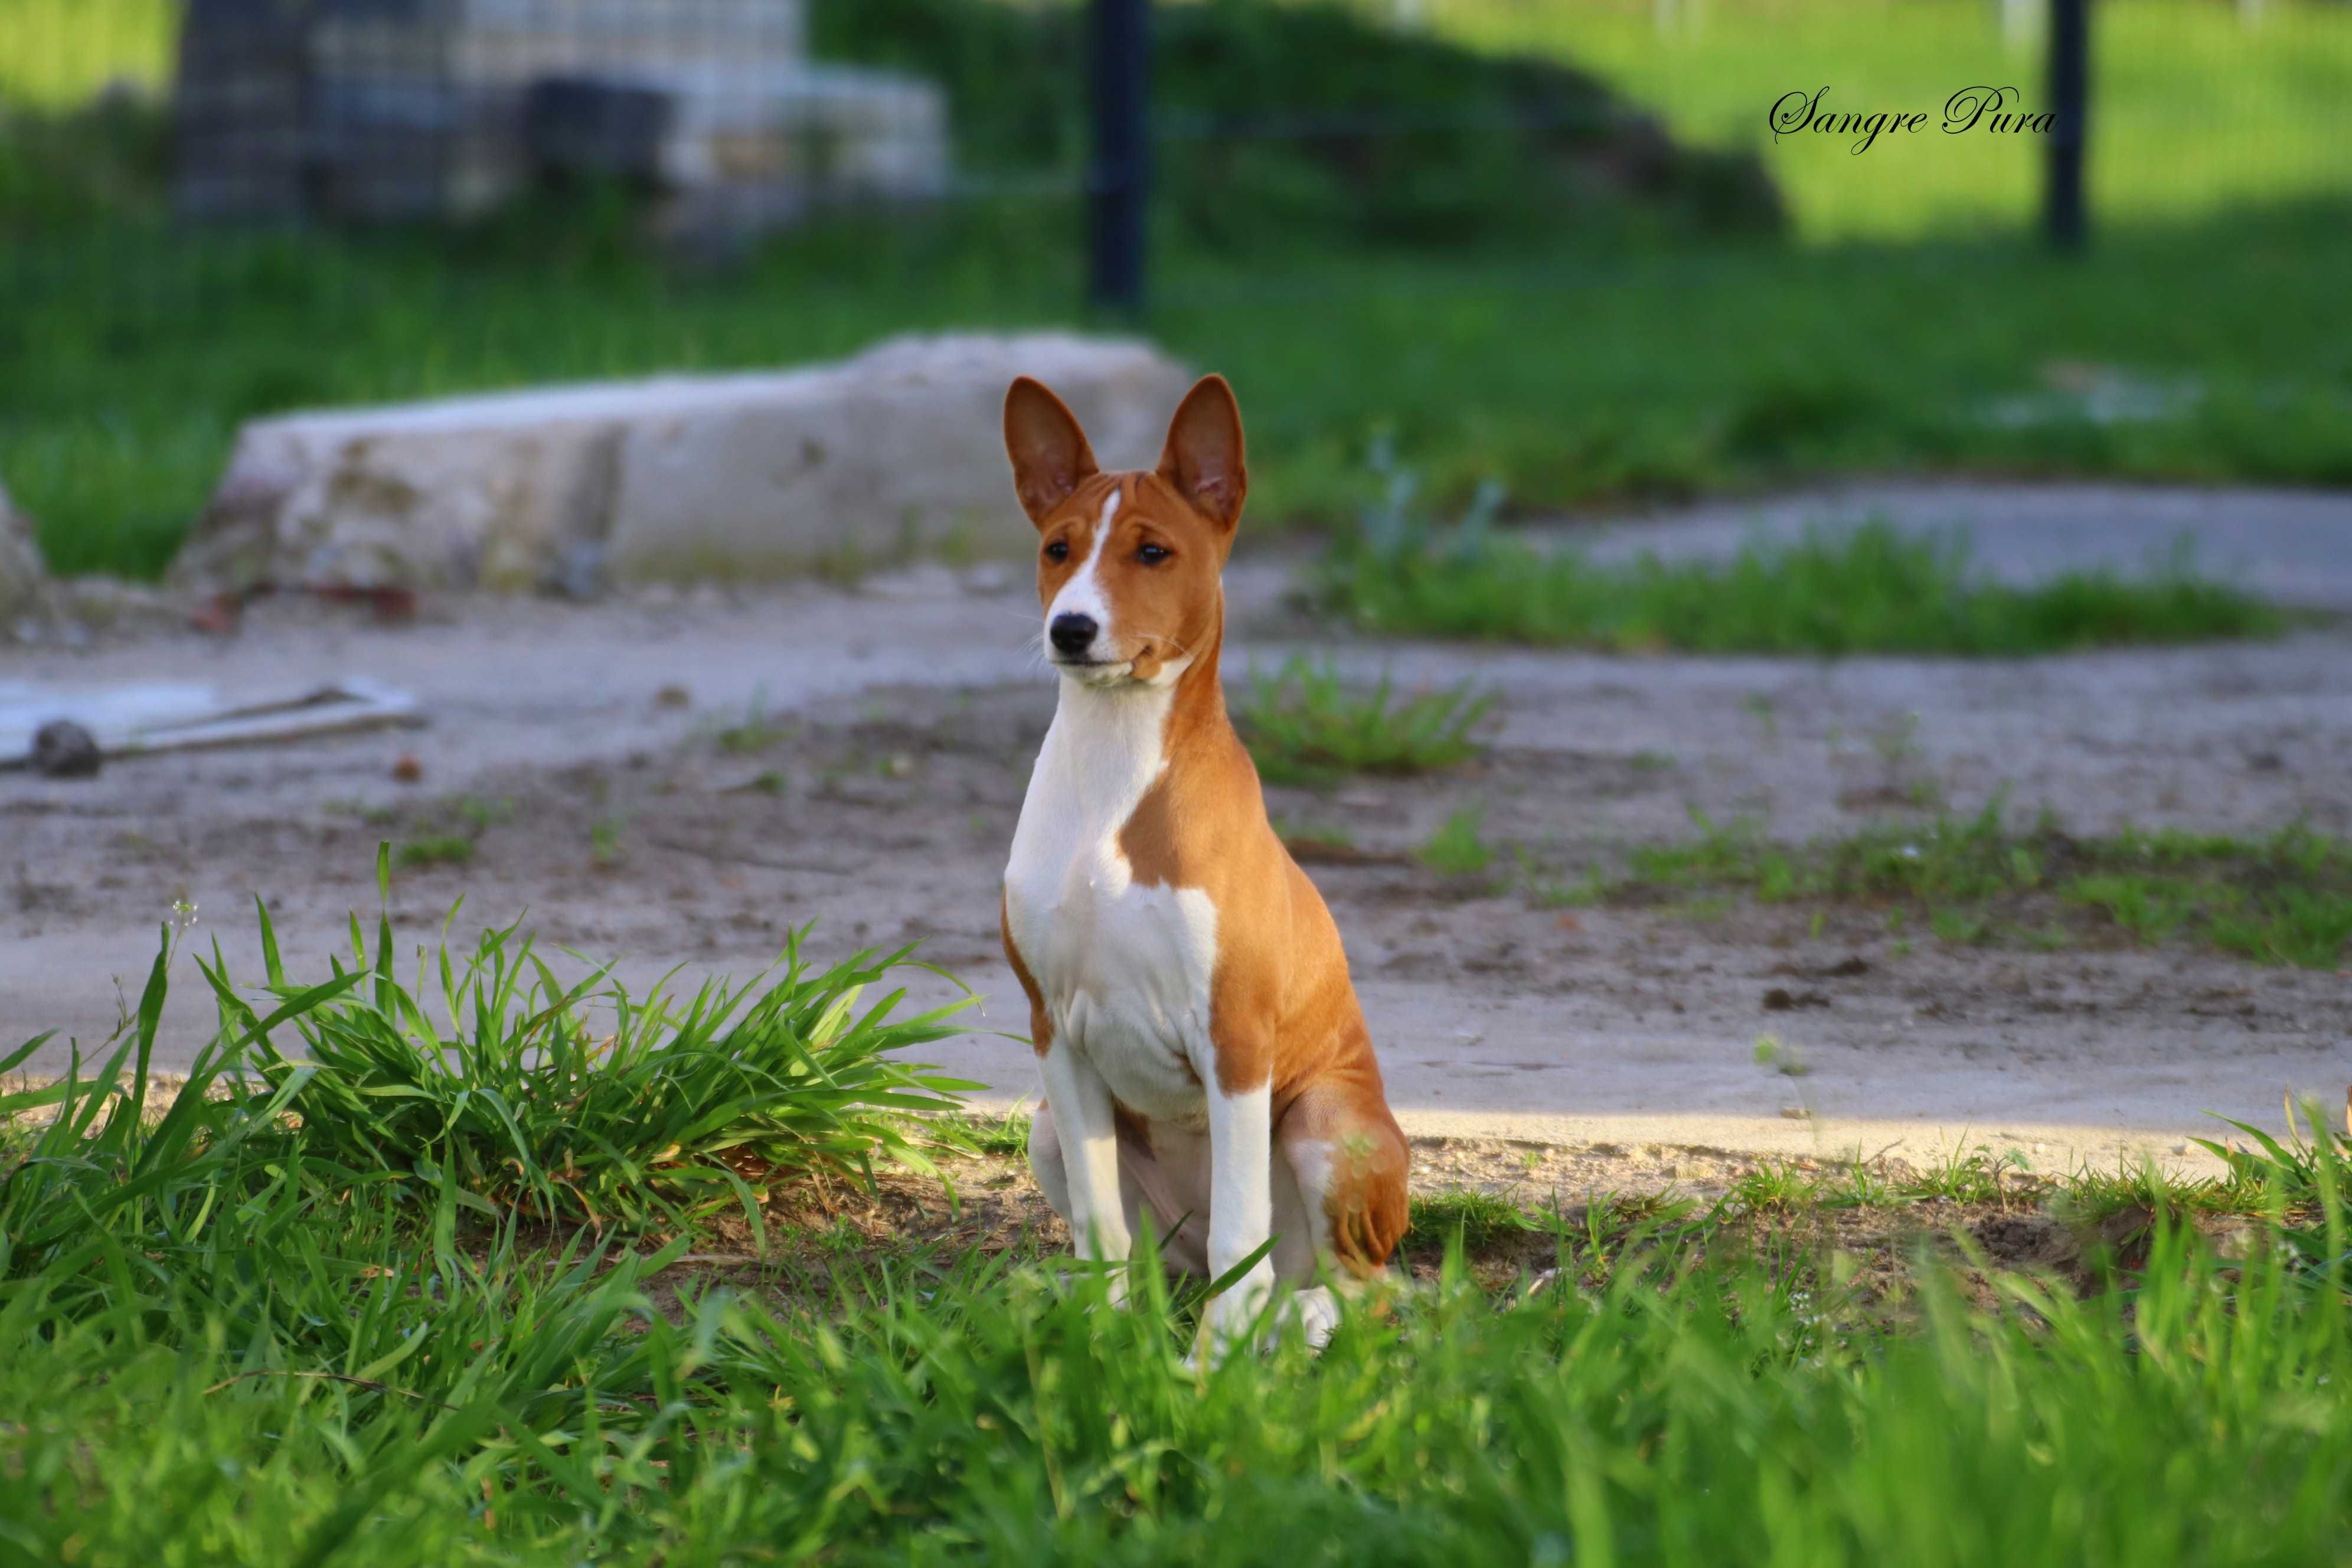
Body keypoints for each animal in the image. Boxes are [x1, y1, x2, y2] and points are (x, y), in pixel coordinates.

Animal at [997, 374, 1402, 1354]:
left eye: (1153, 552)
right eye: (1058, 549)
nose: (1071, 628)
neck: (1114, 775)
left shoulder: (1235, 1036)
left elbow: (1236, 1234)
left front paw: (1210, 1366)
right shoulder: (1055, 1029)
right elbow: (1100, 1226)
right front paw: (1099, 1348)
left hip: (1327, 1125)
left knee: (1362, 1286)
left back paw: (1296, 1318)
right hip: (1046, 1130)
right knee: (1152, 1261)